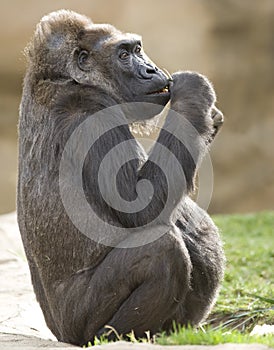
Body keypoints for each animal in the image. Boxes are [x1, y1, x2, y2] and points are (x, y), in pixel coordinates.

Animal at [18, 9, 226, 346]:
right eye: (124, 55)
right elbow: (142, 205)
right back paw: (115, 336)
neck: (64, 78)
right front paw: (194, 93)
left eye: (138, 49)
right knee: (161, 250)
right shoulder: (92, 116)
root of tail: (59, 333)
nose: (151, 69)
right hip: (76, 323)